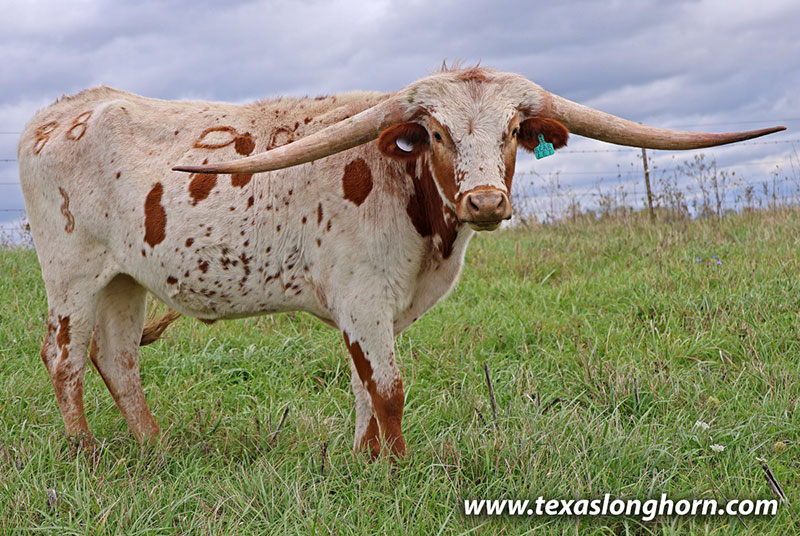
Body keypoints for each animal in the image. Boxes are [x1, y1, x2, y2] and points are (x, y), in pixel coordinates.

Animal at [18, 66, 784, 458]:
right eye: (436, 132)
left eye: (513, 130)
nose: (484, 200)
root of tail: (58, 112)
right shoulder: (363, 298)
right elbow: (387, 388)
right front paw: (396, 469)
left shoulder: (377, 309)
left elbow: (364, 387)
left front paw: (366, 460)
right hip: (71, 273)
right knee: (64, 356)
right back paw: (85, 449)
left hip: (126, 278)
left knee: (117, 359)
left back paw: (153, 446)